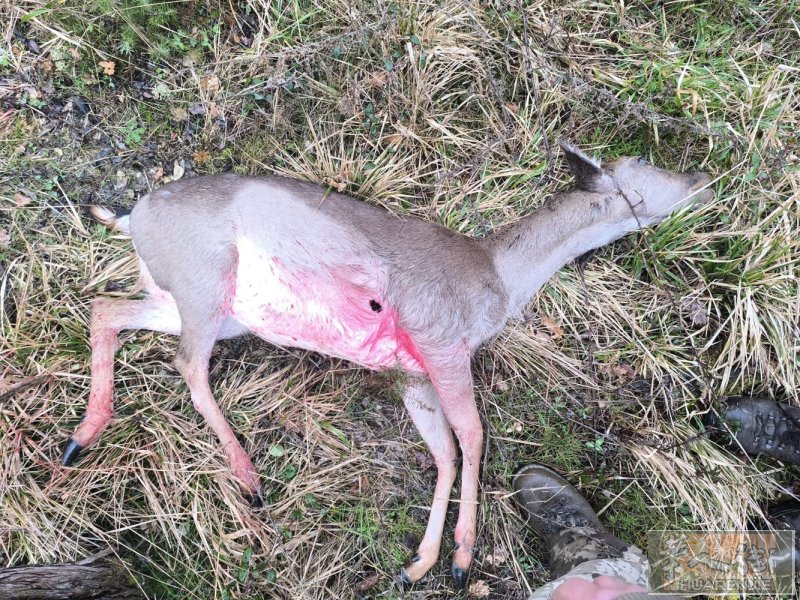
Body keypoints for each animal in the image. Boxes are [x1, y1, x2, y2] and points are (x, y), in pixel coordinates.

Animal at [61, 140, 714, 587]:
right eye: (641, 161)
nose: (704, 175)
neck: (499, 279)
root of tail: (135, 215)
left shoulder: (413, 373)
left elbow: (444, 450)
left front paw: (420, 564)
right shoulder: (442, 342)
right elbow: (474, 435)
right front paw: (462, 557)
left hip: (201, 304)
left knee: (106, 310)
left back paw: (80, 439)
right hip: (205, 280)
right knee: (187, 365)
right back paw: (248, 480)